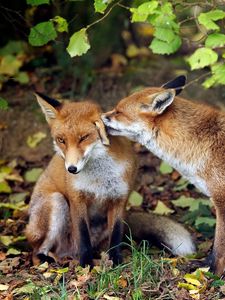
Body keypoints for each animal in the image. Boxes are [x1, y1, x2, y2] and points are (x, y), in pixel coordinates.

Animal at [25, 93, 195, 268]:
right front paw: (86, 263)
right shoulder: (77, 198)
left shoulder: (119, 198)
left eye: (83, 138)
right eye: (61, 140)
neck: (99, 179)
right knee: (36, 251)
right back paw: (47, 260)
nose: (71, 169)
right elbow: (83, 236)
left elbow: (116, 233)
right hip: (56, 202)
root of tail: (66, 253)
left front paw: (115, 259)